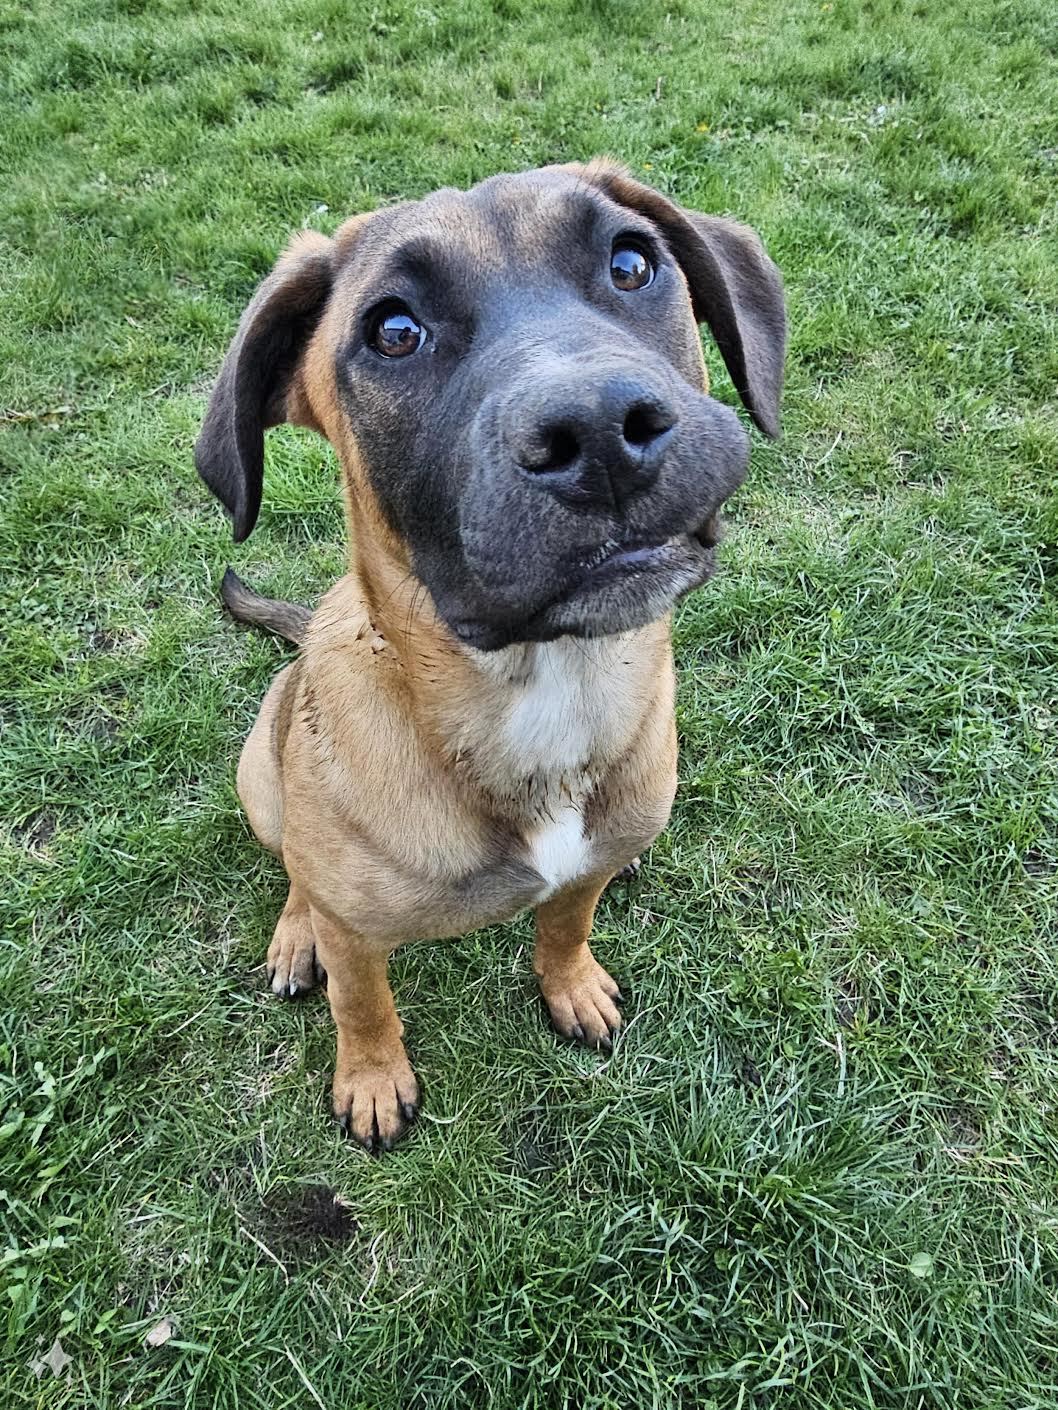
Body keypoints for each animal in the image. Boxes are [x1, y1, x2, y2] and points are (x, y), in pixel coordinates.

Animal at [194, 162, 784, 1156]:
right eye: (394, 331)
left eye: (631, 264)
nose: (599, 431)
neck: (547, 689)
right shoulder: (358, 938)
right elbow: (363, 1004)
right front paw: (372, 1079)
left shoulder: (582, 871)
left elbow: (563, 927)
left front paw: (571, 986)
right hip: (263, 785)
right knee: (297, 877)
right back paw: (294, 935)